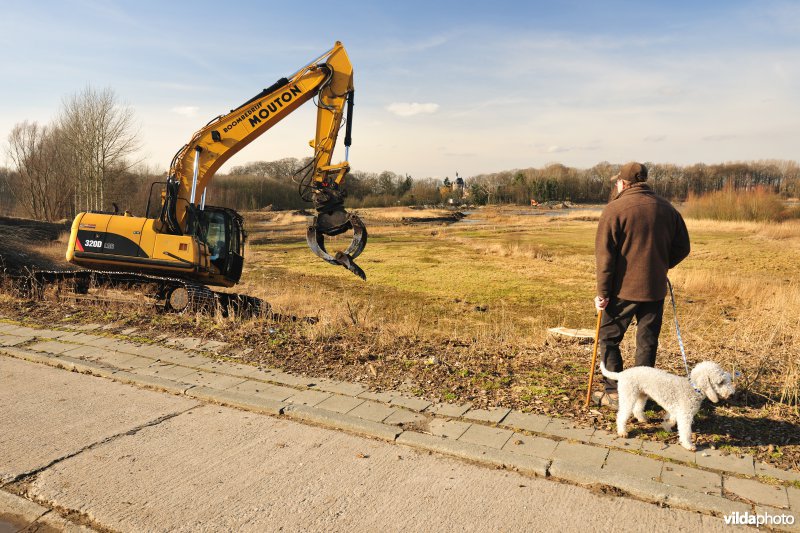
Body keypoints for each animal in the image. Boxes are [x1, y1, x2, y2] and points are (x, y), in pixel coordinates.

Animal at [600, 358, 736, 448]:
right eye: (721, 382)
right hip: (628, 395)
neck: (693, 388)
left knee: (637, 409)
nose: (732, 394)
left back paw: (642, 419)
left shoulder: (677, 410)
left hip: (641, 394)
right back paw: (622, 431)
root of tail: (622, 374)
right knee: (621, 415)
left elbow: (671, 419)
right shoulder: (685, 415)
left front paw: (666, 426)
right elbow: (685, 431)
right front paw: (688, 445)